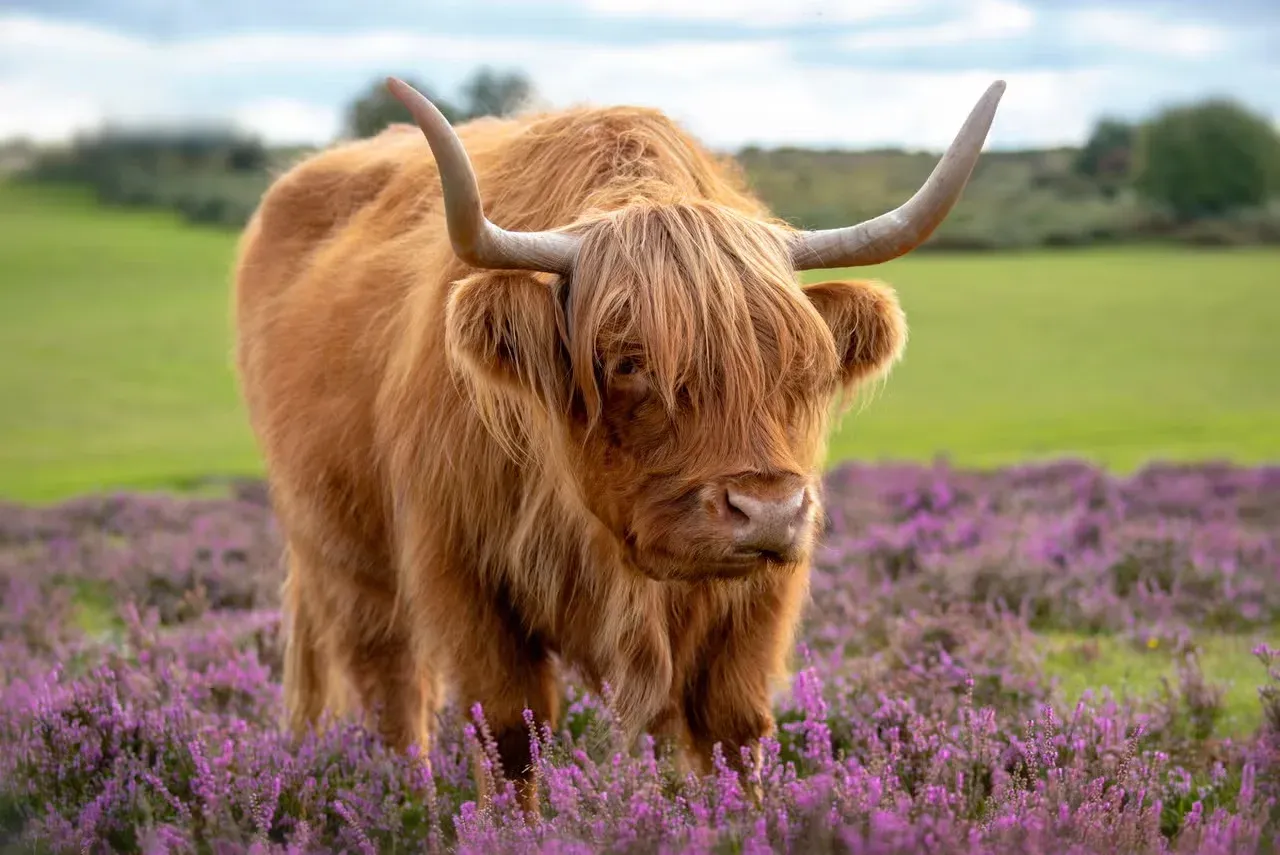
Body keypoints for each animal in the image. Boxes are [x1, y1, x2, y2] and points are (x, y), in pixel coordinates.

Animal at [232, 76, 1005, 807]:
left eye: (800, 362)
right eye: (630, 361)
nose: (768, 511)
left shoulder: (758, 598)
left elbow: (733, 728)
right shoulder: (461, 568)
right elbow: (508, 733)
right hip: (346, 560)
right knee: (393, 695)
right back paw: (407, 798)